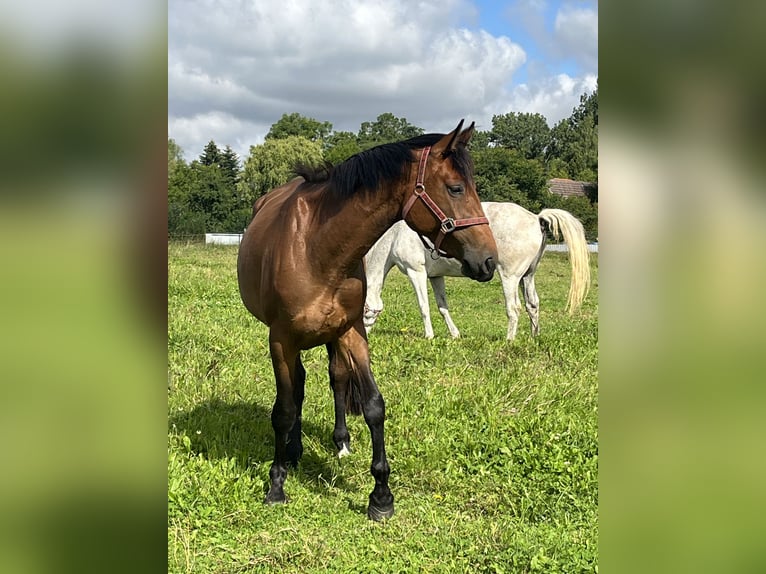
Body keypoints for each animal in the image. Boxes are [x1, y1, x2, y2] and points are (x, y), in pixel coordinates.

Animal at [237, 118, 498, 520]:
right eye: (455, 188)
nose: (489, 260)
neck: (316, 247)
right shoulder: (280, 340)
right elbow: (283, 409)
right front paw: (276, 484)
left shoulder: (352, 332)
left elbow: (374, 404)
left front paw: (381, 495)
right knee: (297, 388)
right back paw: (293, 452)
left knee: (335, 379)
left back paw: (338, 442)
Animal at [366, 201, 592, 340]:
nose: (364, 336)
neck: (396, 235)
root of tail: (536, 218)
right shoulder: (436, 276)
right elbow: (442, 307)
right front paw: (455, 334)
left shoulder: (416, 273)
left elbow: (424, 307)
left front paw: (429, 335)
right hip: (527, 276)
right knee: (532, 305)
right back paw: (534, 337)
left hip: (509, 277)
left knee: (514, 308)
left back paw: (509, 340)